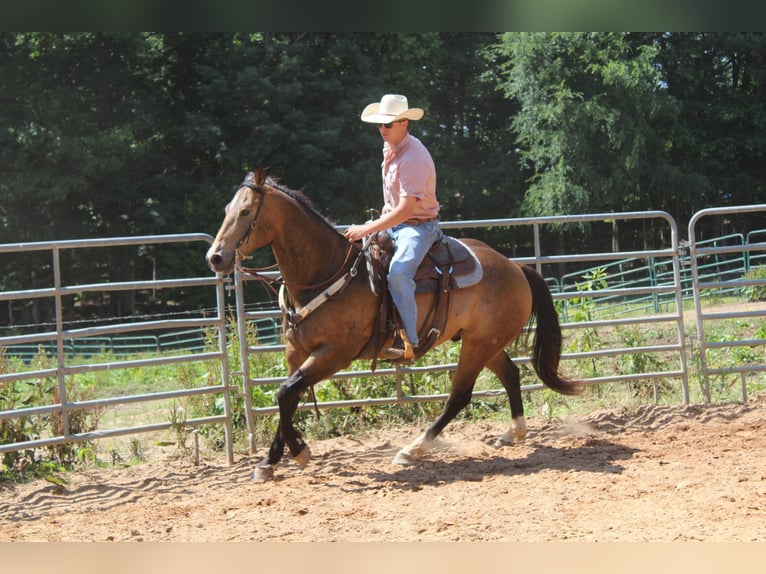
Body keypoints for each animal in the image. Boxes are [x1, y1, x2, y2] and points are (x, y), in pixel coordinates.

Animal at [204, 170, 584, 482]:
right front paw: (270, 460)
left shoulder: (334, 355)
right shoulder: (295, 353)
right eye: (226, 209)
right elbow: (287, 397)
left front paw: (299, 452)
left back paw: (414, 449)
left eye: (246, 212)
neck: (326, 269)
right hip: (484, 342)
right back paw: (513, 432)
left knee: (460, 395)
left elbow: (285, 393)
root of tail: (516, 267)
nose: (216, 257)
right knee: (510, 375)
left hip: (478, 345)